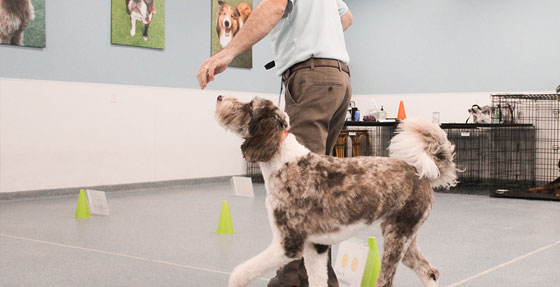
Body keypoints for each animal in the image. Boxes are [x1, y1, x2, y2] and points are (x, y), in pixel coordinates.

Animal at [215, 95, 460, 286]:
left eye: (249, 105)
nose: (218, 97)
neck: (284, 160)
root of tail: (421, 172)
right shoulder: (315, 246)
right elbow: (317, 281)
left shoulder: (289, 244)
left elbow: (242, 272)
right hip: (405, 237)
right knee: (430, 272)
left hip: (397, 236)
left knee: (388, 281)